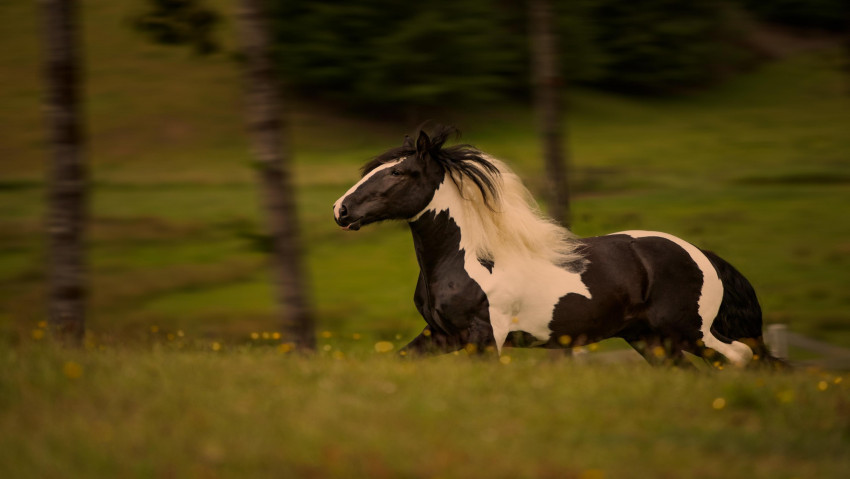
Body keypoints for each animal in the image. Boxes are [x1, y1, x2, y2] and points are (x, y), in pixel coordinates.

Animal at [332, 125, 780, 370]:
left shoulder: (484, 337)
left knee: (740, 357)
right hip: (650, 339)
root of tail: (704, 256)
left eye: (400, 173)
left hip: (690, 331)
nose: (341, 209)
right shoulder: (441, 335)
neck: (466, 261)